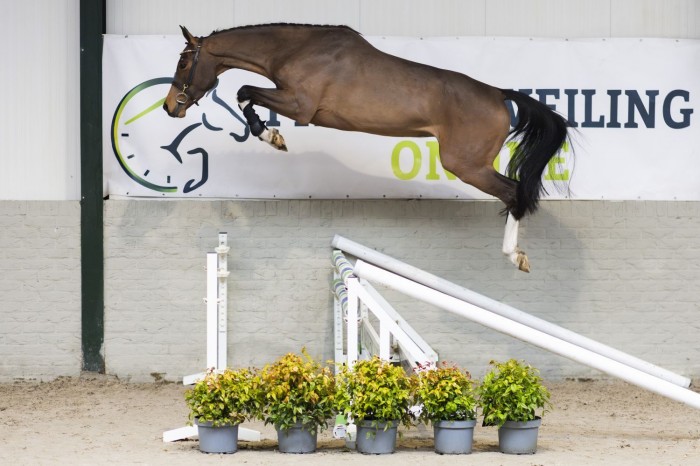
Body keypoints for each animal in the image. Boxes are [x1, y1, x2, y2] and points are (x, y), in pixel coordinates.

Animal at [163, 24, 569, 272]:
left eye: (183, 61)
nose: (170, 107)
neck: (297, 50)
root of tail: (499, 94)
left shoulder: (300, 106)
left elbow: (244, 92)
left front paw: (272, 137)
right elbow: (245, 96)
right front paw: (273, 137)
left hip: (465, 164)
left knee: (513, 192)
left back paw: (515, 256)